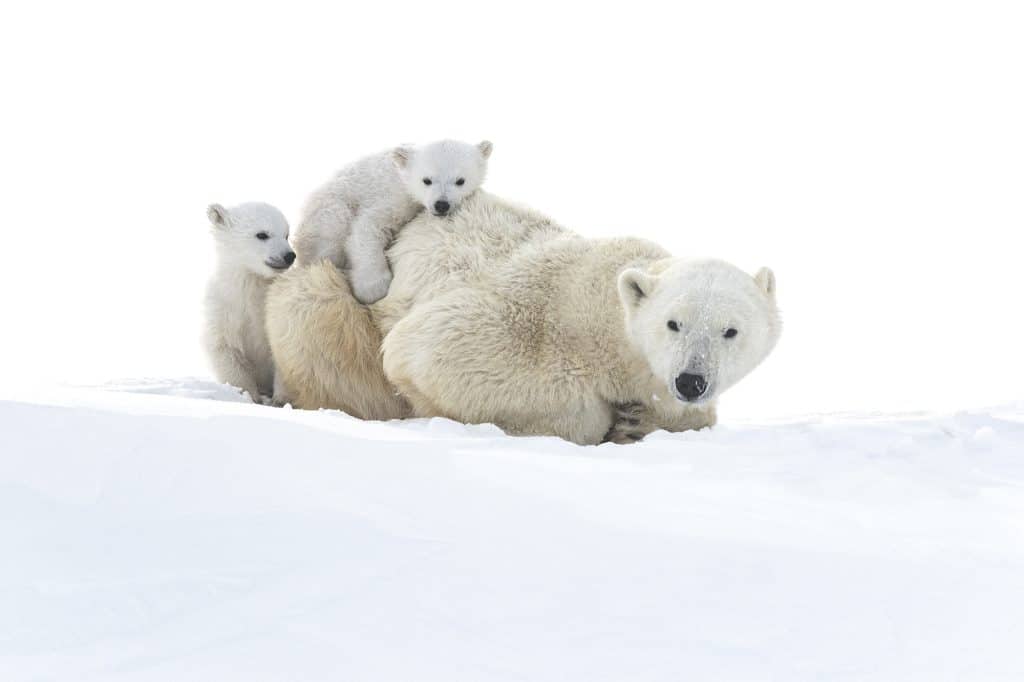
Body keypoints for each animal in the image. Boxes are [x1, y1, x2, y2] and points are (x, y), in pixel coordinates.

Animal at [266, 192, 782, 446]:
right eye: (673, 323)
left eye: (730, 331)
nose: (691, 380)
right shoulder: (529, 311)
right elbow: (424, 351)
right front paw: (610, 421)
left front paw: (640, 421)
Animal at [292, 138, 495, 303]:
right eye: (426, 180)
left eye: (460, 180)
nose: (441, 205)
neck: (403, 172)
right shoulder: (394, 196)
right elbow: (368, 226)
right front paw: (373, 288)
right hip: (329, 209)